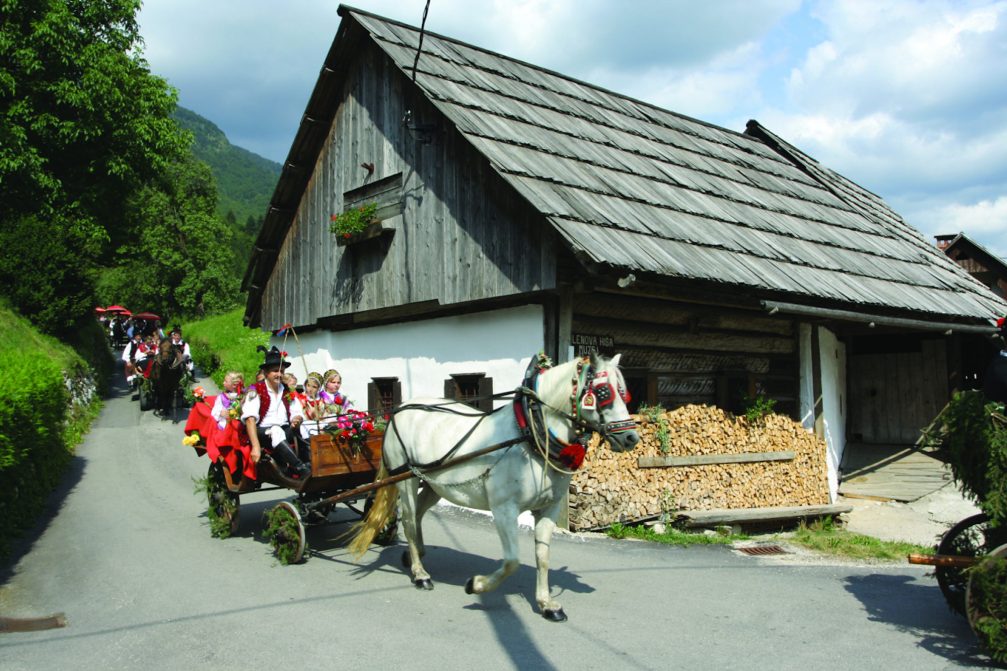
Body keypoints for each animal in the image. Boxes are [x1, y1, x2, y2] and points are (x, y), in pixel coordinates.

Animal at [350, 352, 640, 620]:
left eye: (624, 394)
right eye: (603, 392)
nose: (631, 438)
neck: (530, 434)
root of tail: (401, 408)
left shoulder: (548, 509)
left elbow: (542, 556)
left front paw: (547, 604)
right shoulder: (504, 509)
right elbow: (512, 561)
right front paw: (476, 584)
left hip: (434, 484)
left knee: (419, 515)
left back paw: (414, 556)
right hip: (406, 479)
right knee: (410, 520)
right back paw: (420, 574)